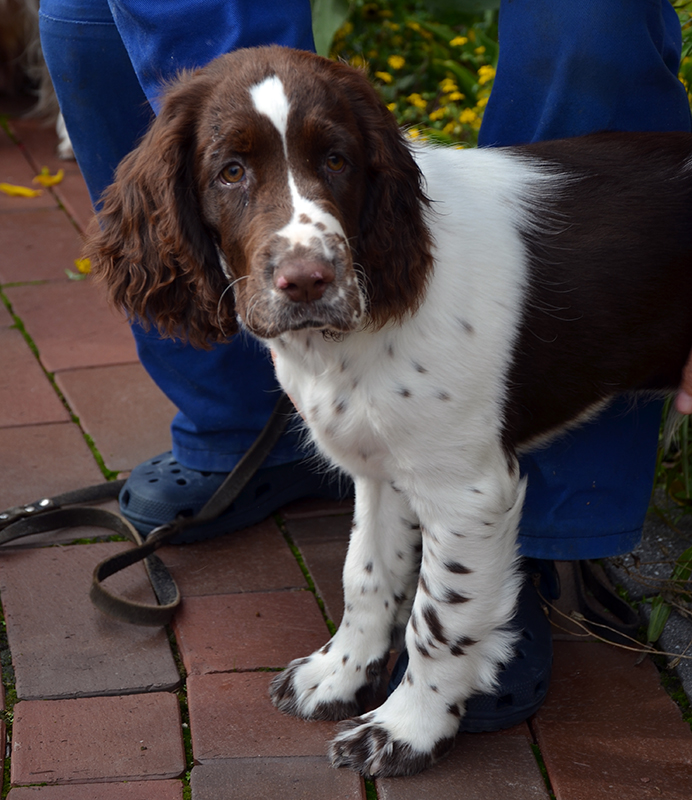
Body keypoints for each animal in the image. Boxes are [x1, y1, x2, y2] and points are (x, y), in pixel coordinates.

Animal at [86, 45, 692, 776]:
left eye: (337, 160)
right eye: (230, 171)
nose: (308, 281)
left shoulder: (467, 490)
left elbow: (439, 616)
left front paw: (406, 730)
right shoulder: (382, 469)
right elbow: (366, 577)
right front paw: (337, 676)